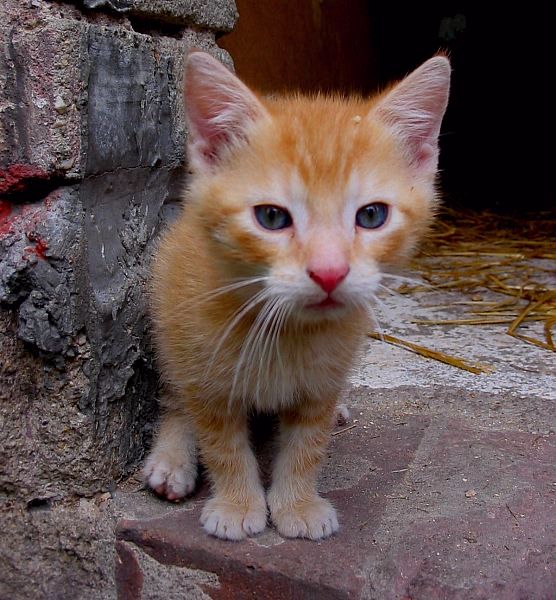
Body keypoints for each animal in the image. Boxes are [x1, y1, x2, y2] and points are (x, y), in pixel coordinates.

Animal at [144, 49, 452, 540]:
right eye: (271, 217)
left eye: (372, 215)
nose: (329, 272)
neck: (286, 330)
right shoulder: (203, 373)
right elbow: (221, 443)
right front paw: (236, 504)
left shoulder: (322, 383)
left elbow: (308, 443)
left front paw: (297, 504)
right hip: (166, 310)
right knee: (174, 397)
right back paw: (171, 460)